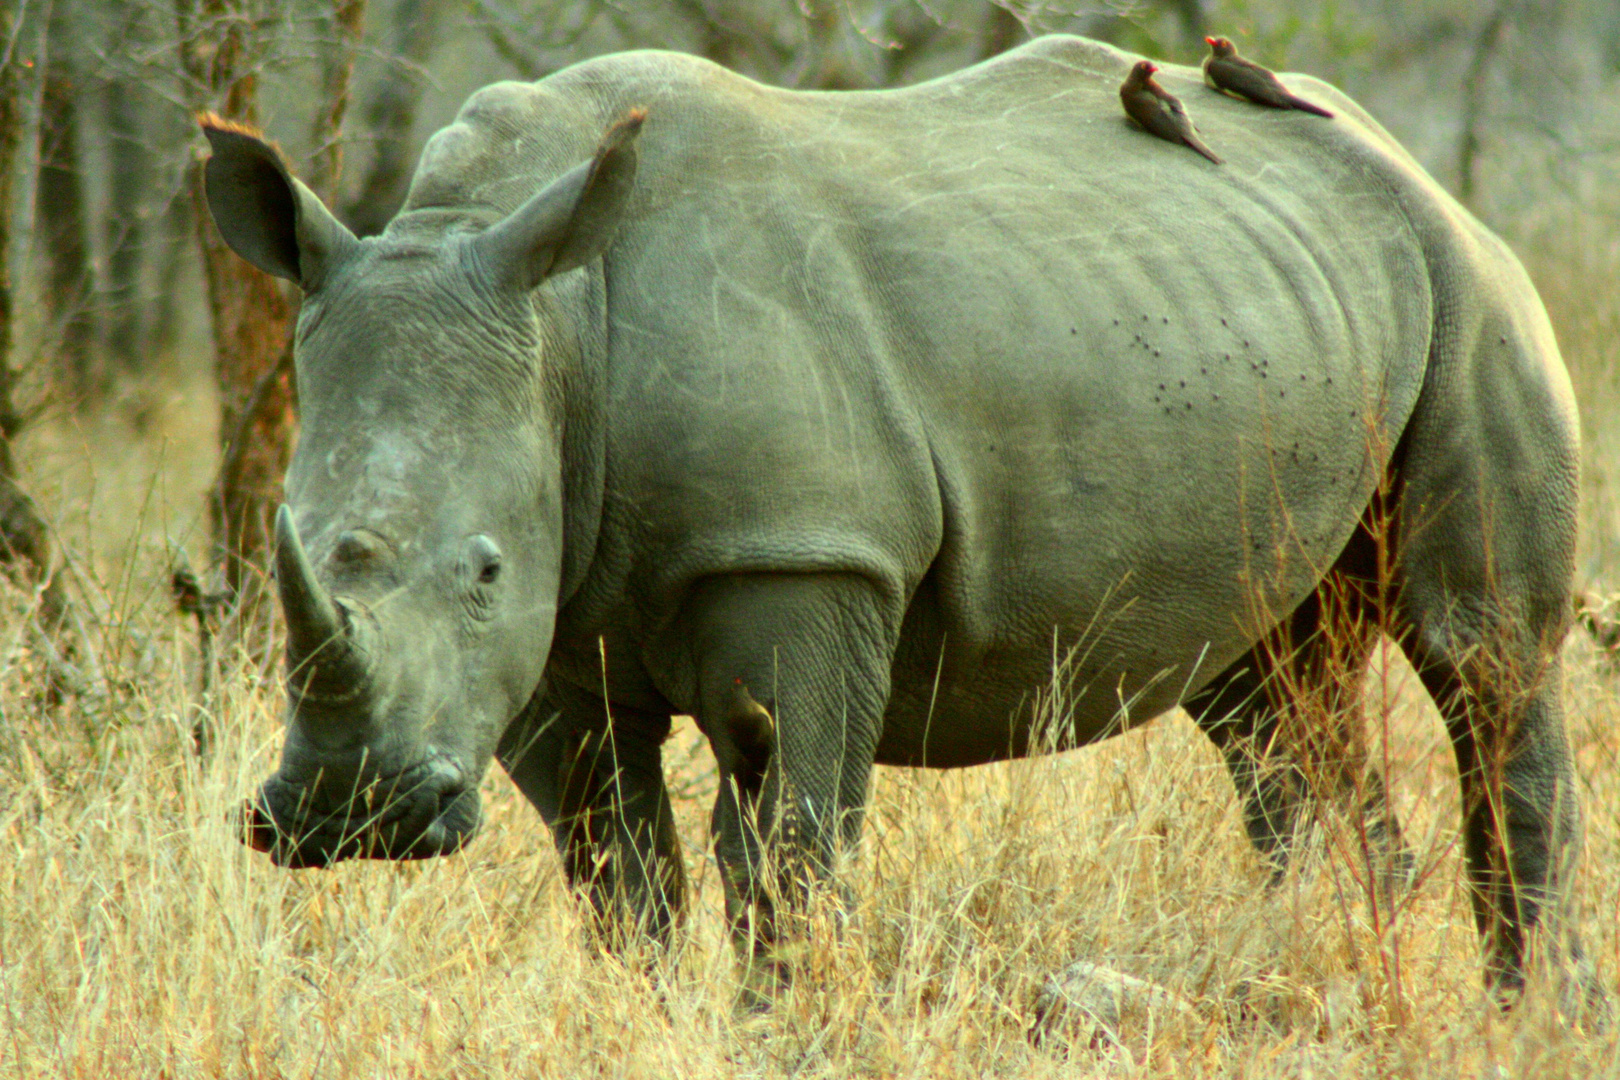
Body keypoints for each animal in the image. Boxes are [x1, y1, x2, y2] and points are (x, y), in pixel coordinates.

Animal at [199, 35, 1581, 997]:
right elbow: (616, 873)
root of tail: (1397, 155)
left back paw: (1527, 1016)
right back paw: (1338, 966)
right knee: (1265, 689)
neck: (556, 326)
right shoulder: (551, 636)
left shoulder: (803, 554)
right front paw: (650, 1014)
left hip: (1470, 282)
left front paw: (786, 1026)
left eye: (483, 569)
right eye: (291, 538)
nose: (348, 818)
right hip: (1264, 320)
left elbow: (790, 851)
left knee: (1482, 657)